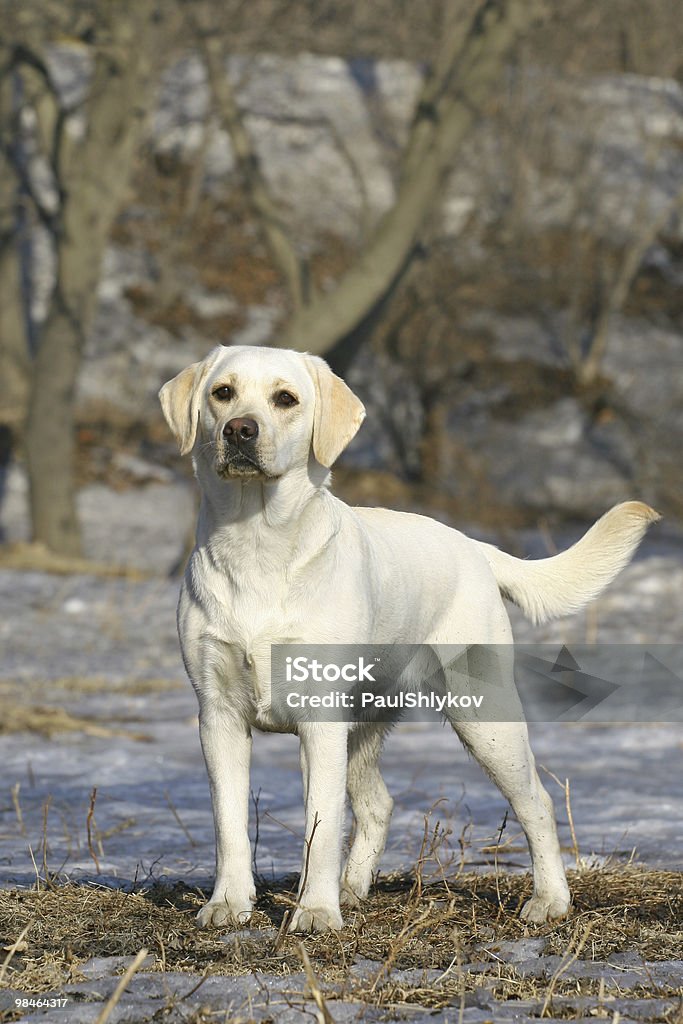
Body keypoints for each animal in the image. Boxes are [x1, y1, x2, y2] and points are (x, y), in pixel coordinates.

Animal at [158, 344, 655, 929]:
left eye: (285, 398)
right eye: (223, 393)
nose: (239, 429)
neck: (256, 544)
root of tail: (476, 546)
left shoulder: (319, 721)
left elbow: (321, 823)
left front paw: (316, 913)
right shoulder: (219, 716)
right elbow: (229, 823)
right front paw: (229, 905)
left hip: (485, 720)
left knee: (539, 803)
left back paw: (549, 900)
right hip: (364, 726)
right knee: (379, 805)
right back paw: (351, 888)